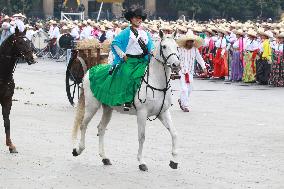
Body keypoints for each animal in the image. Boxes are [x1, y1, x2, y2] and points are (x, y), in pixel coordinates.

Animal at [72, 31, 181, 171]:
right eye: (164, 46)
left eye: (177, 47)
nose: (176, 65)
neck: (156, 81)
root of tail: (90, 71)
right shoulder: (142, 113)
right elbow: (142, 137)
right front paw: (141, 162)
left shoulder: (163, 113)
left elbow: (174, 133)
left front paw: (174, 161)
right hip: (92, 106)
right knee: (83, 125)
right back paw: (78, 150)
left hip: (108, 108)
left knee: (101, 128)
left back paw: (104, 157)